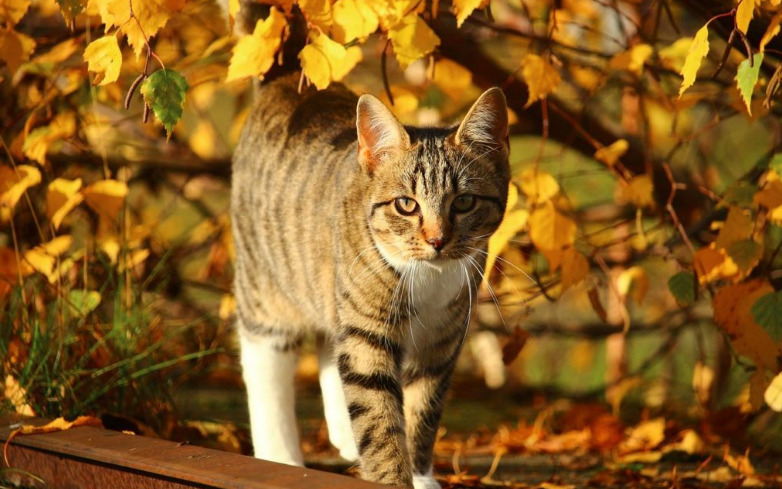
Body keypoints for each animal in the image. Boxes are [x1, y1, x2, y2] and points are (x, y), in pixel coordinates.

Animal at [231, 73, 516, 488]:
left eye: (463, 202)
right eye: (406, 205)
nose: (437, 240)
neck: (428, 277)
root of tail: (287, 81)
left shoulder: (440, 344)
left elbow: (421, 413)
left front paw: (421, 476)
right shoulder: (369, 330)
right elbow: (379, 418)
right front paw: (392, 476)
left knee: (331, 345)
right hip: (267, 286)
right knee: (265, 362)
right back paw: (280, 456)